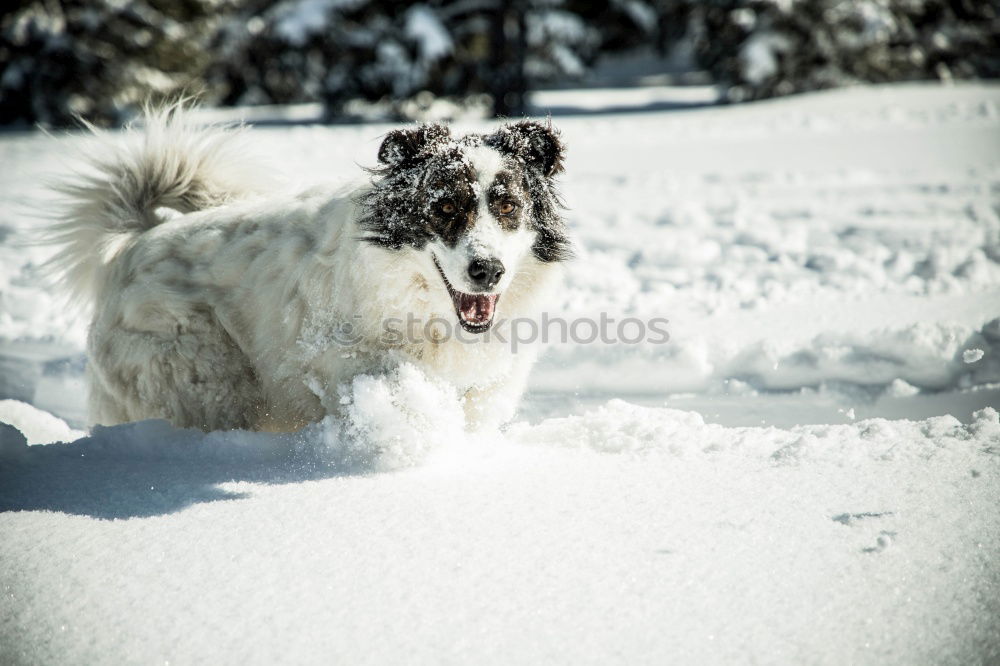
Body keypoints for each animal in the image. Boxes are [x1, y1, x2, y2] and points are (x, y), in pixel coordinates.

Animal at [47, 107, 576, 430]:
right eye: (445, 208)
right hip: (204, 377)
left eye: (508, 207)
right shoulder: (339, 366)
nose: (488, 270)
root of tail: (132, 244)